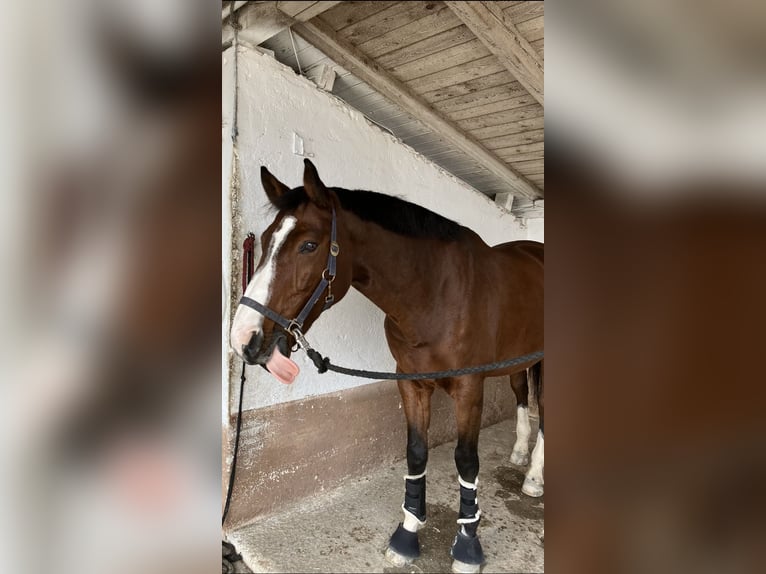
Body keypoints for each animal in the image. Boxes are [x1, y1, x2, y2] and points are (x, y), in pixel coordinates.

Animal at [231, 161, 544, 574]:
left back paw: (535, 478)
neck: (438, 293)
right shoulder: (411, 383)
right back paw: (520, 454)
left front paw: (467, 546)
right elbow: (416, 451)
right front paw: (408, 534)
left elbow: (466, 461)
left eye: (309, 245)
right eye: (266, 241)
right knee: (521, 394)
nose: (242, 338)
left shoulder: (469, 387)